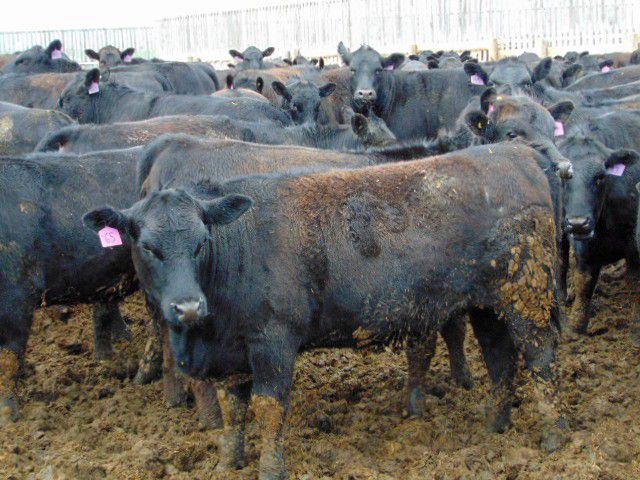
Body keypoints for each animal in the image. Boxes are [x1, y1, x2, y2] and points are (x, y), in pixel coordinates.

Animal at [85, 142, 567, 479]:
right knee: (500, 359)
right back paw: (494, 425)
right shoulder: (234, 353)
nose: (187, 307)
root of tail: (517, 152)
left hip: (527, 298)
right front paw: (227, 462)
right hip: (488, 306)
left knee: (541, 360)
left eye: (202, 242)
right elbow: (233, 409)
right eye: (147, 247)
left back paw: (554, 436)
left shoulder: (273, 341)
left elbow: (268, 407)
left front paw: (270, 469)